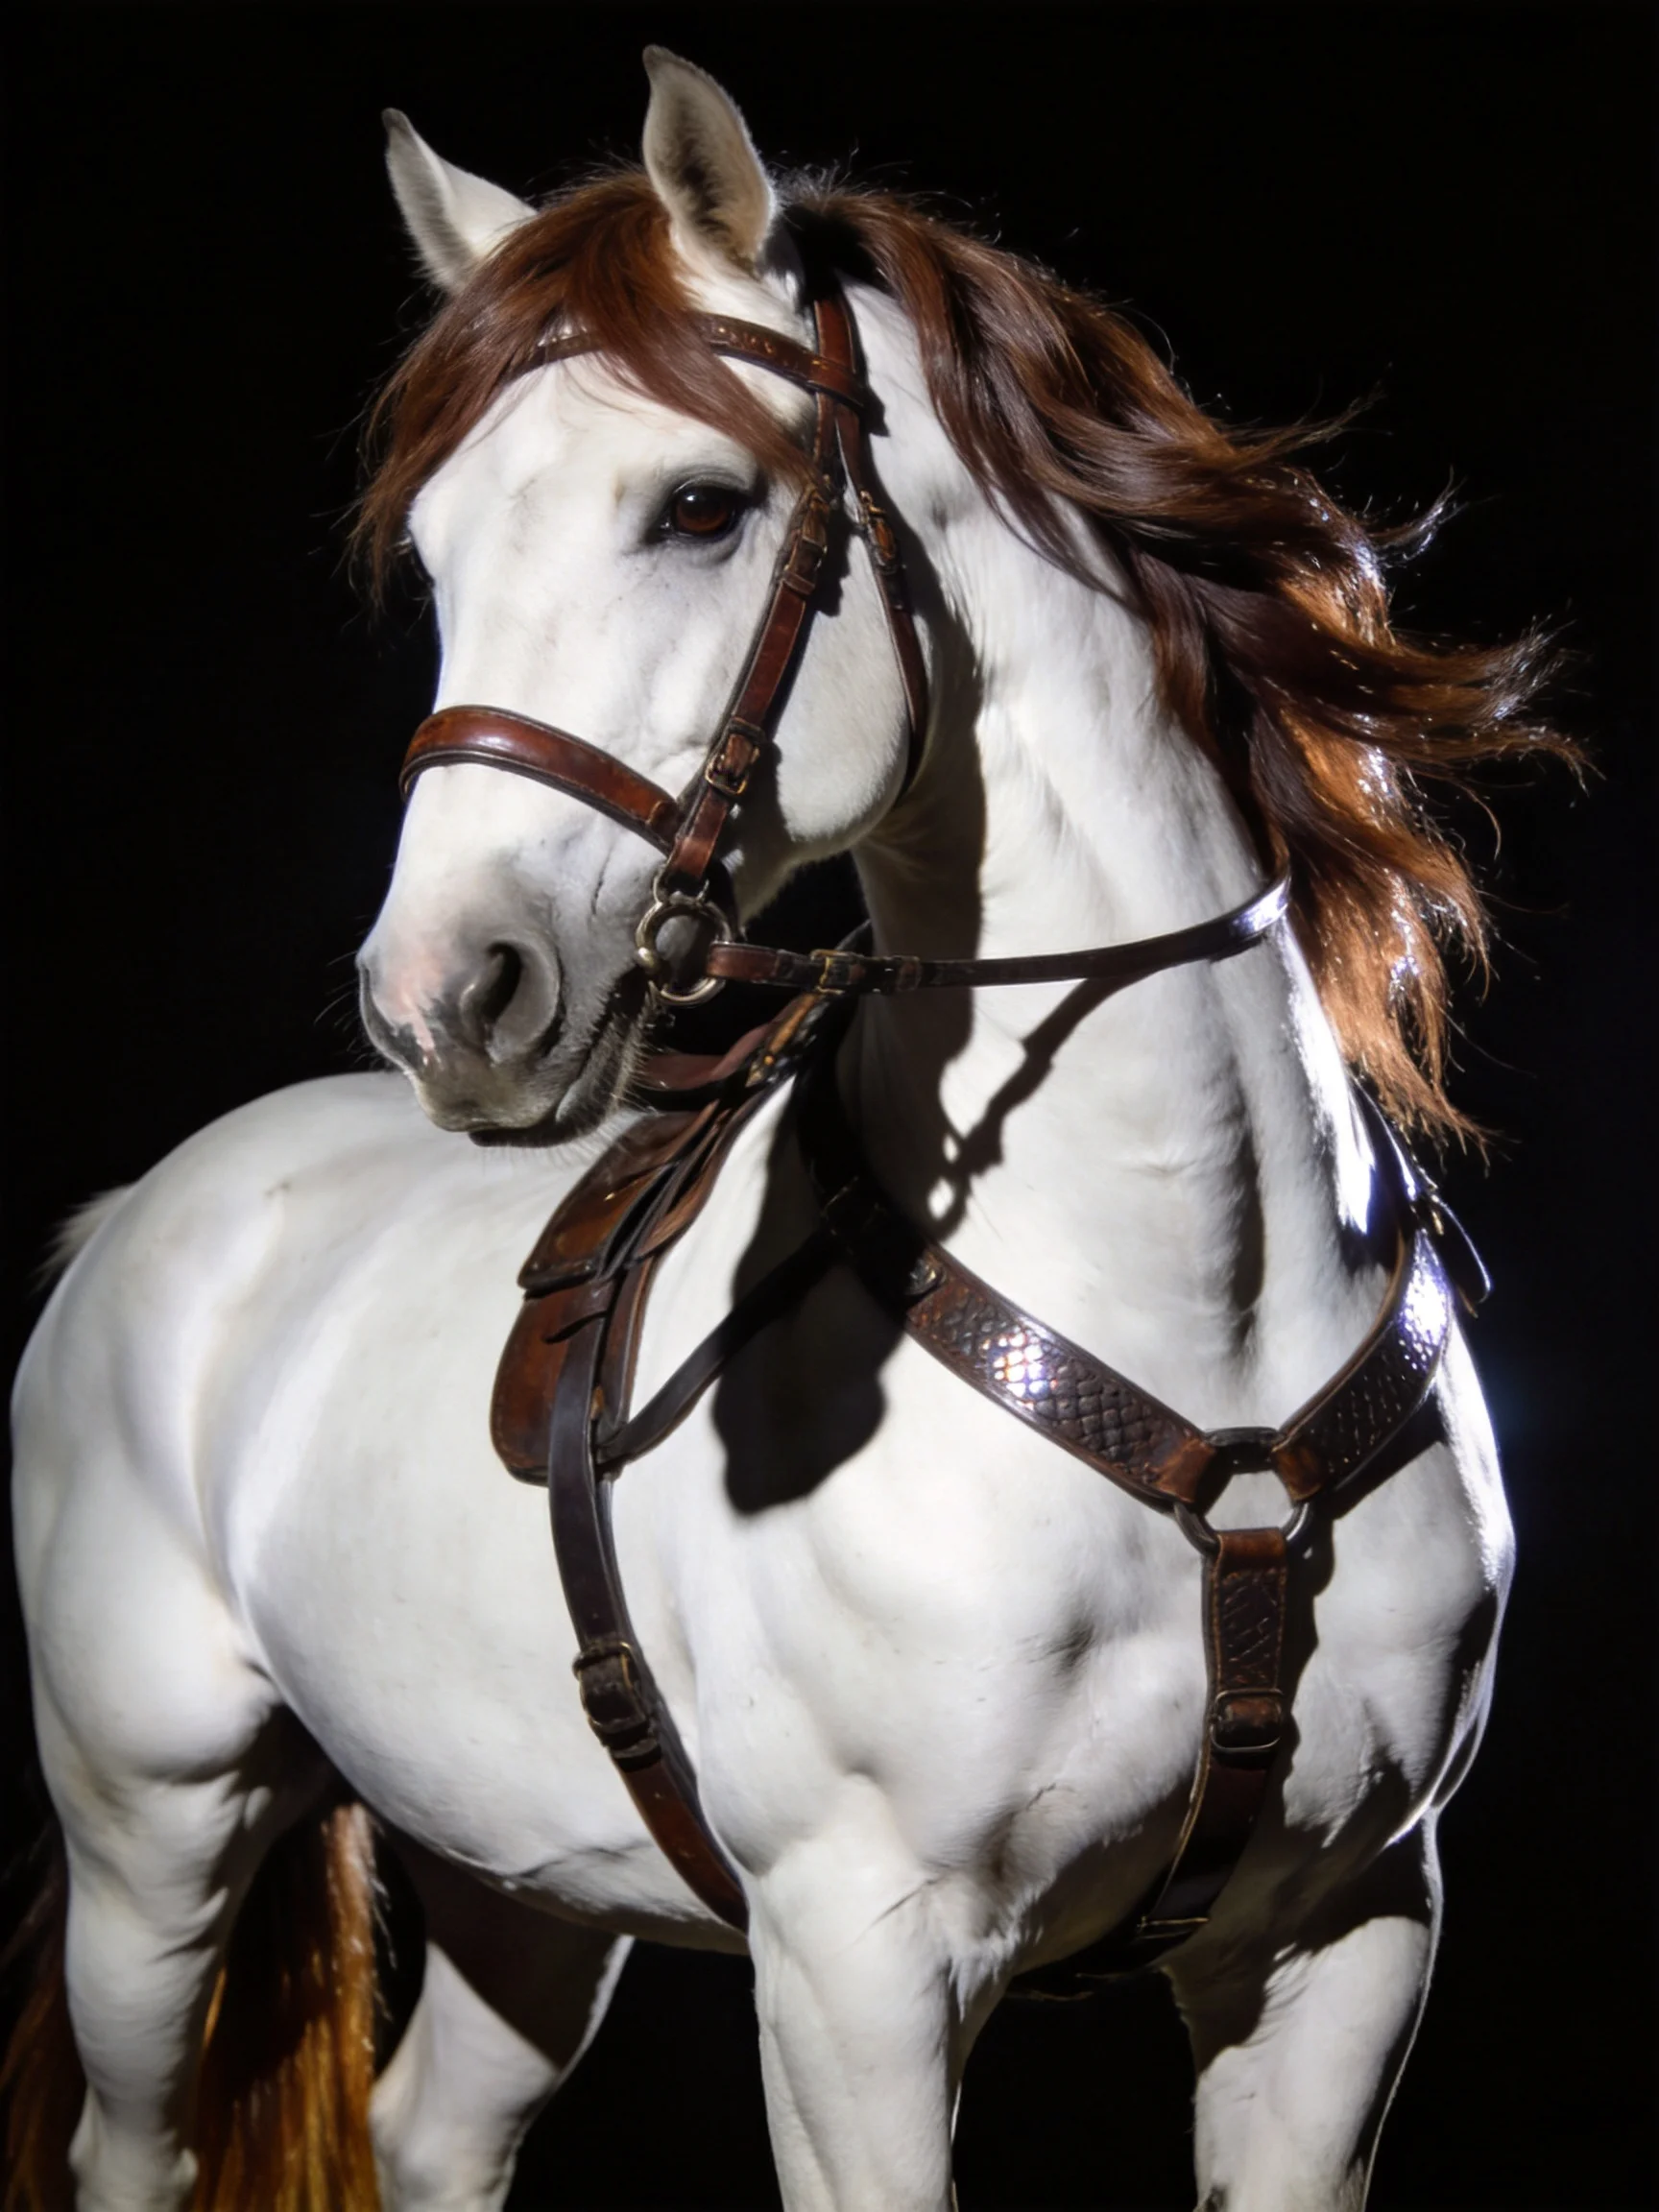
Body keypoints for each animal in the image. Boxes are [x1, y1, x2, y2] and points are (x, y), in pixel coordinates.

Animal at [5, 48, 1556, 2212]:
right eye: (438, 560)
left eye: (699, 504)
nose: (443, 995)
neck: (1198, 1315)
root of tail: (142, 1211)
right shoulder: (858, 1967)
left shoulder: (1344, 1938)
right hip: (149, 1837)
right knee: (131, 2141)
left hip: (521, 1883)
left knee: (430, 2133)